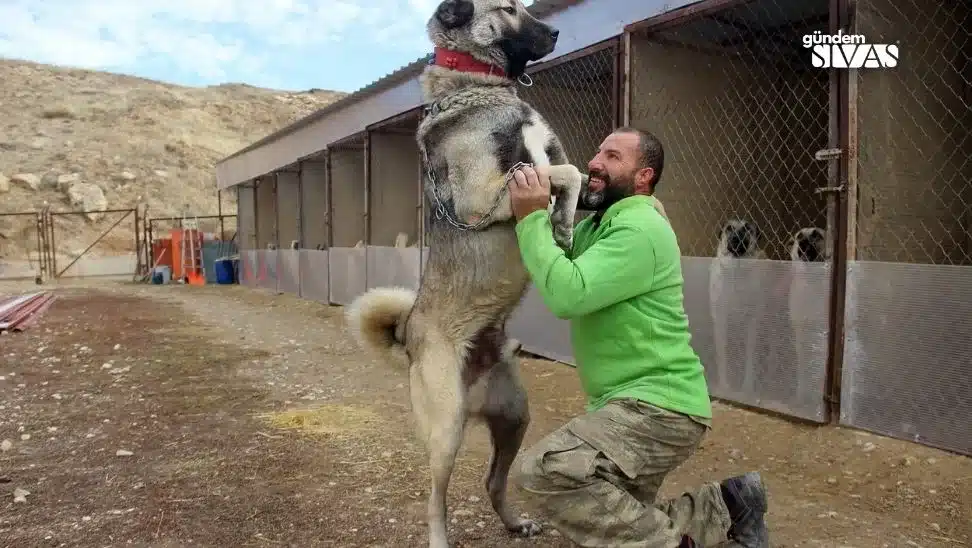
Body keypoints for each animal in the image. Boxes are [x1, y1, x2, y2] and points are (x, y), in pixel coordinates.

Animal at [342, 1, 584, 548]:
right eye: (508, 8)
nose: (557, 31)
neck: (479, 85)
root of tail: (409, 333)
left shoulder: (549, 158)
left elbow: (576, 174)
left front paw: (565, 224)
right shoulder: (486, 196)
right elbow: (565, 175)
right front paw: (561, 219)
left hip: (516, 417)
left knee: (493, 481)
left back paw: (515, 522)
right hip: (447, 428)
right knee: (436, 499)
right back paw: (440, 536)